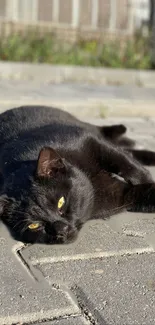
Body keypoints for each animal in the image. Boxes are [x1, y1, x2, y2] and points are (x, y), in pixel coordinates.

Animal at [0, 105, 155, 244]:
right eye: (34, 225)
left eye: (61, 202)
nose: (61, 229)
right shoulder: (119, 196)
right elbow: (144, 193)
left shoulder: (90, 141)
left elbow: (127, 164)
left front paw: (145, 177)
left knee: (114, 140)